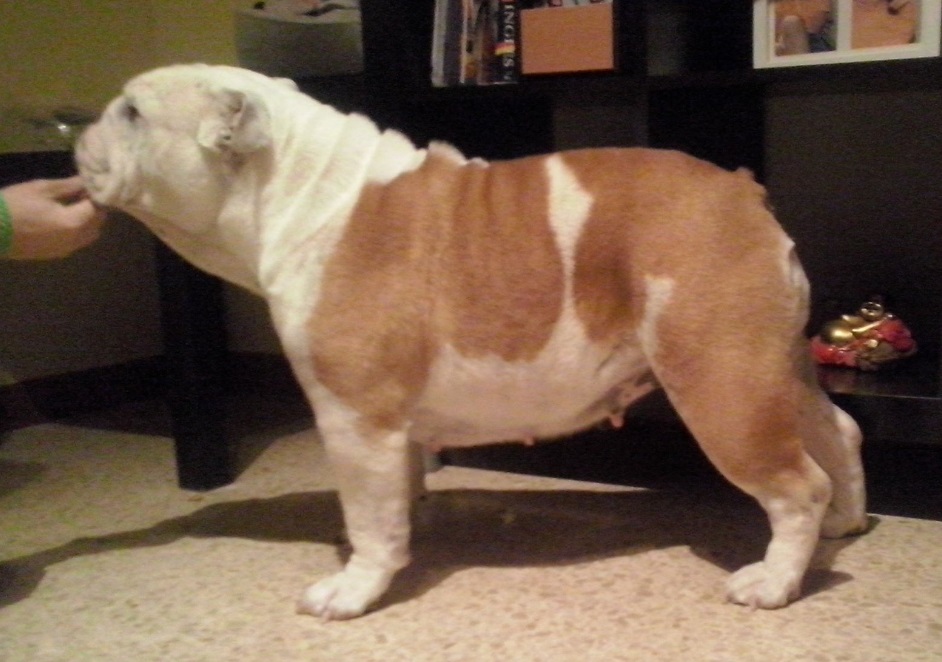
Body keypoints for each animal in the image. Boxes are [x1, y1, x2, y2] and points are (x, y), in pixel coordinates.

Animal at [76, 64, 868, 620]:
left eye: (133, 113)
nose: (78, 130)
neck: (293, 186)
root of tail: (739, 190)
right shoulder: (386, 429)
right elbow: (396, 496)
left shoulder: (354, 419)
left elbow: (367, 518)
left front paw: (356, 589)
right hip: (773, 370)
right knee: (839, 433)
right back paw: (844, 524)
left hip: (721, 387)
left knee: (797, 486)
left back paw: (775, 580)